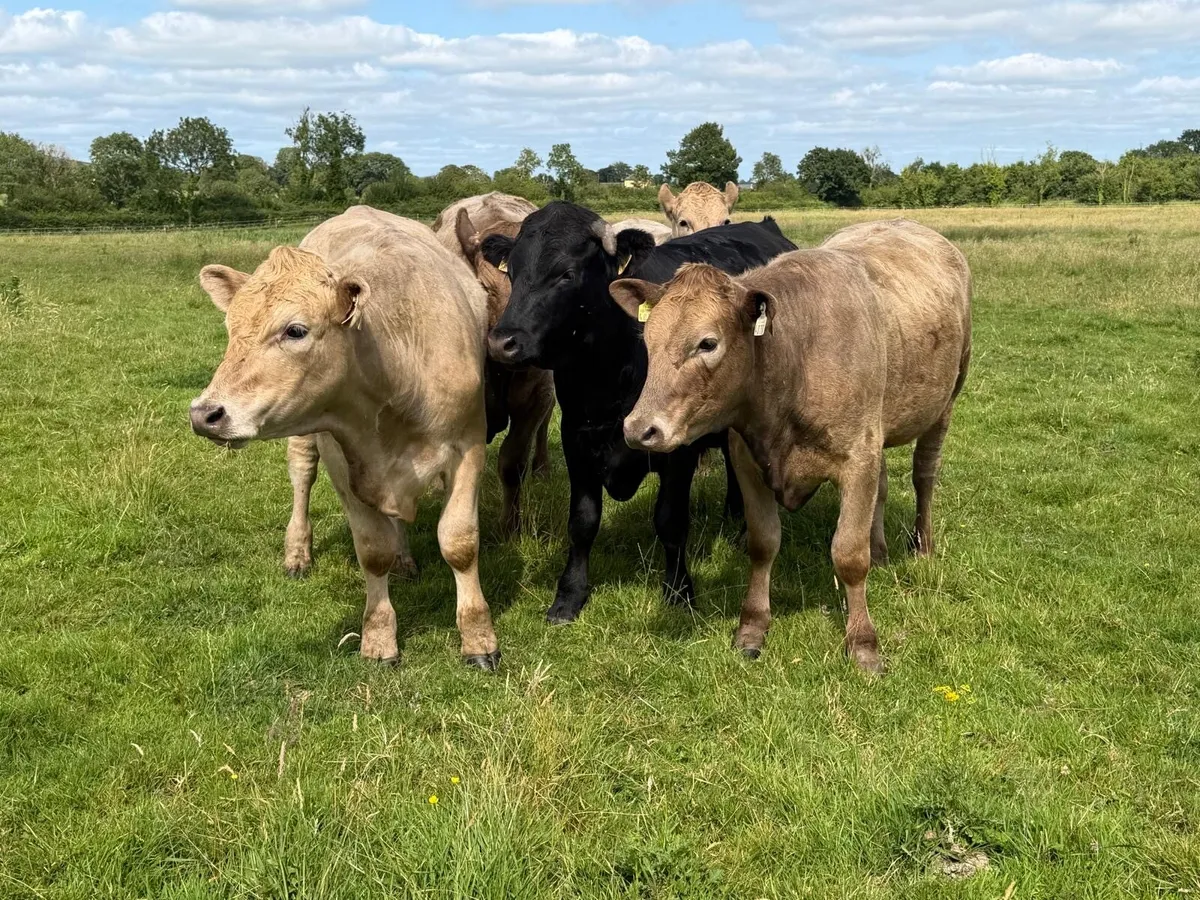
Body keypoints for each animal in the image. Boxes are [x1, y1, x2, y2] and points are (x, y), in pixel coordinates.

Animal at [189, 206, 501, 670]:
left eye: (295, 330)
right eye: (231, 329)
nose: (204, 414)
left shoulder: (469, 447)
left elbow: (459, 542)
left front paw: (479, 638)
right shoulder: (341, 458)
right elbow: (372, 549)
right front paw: (378, 638)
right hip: (307, 439)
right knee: (302, 477)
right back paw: (298, 552)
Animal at [481, 201, 797, 625]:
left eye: (567, 274)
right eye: (512, 272)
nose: (503, 342)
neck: (608, 372)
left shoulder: (677, 447)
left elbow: (671, 520)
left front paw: (679, 592)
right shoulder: (576, 439)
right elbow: (582, 521)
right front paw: (569, 595)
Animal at [610, 219, 972, 674]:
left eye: (707, 343)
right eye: (648, 339)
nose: (640, 428)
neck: (794, 356)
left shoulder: (857, 458)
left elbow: (849, 554)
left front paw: (863, 642)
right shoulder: (748, 460)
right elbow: (763, 543)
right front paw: (752, 627)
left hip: (945, 402)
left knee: (924, 476)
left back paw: (922, 545)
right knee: (884, 487)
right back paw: (881, 549)